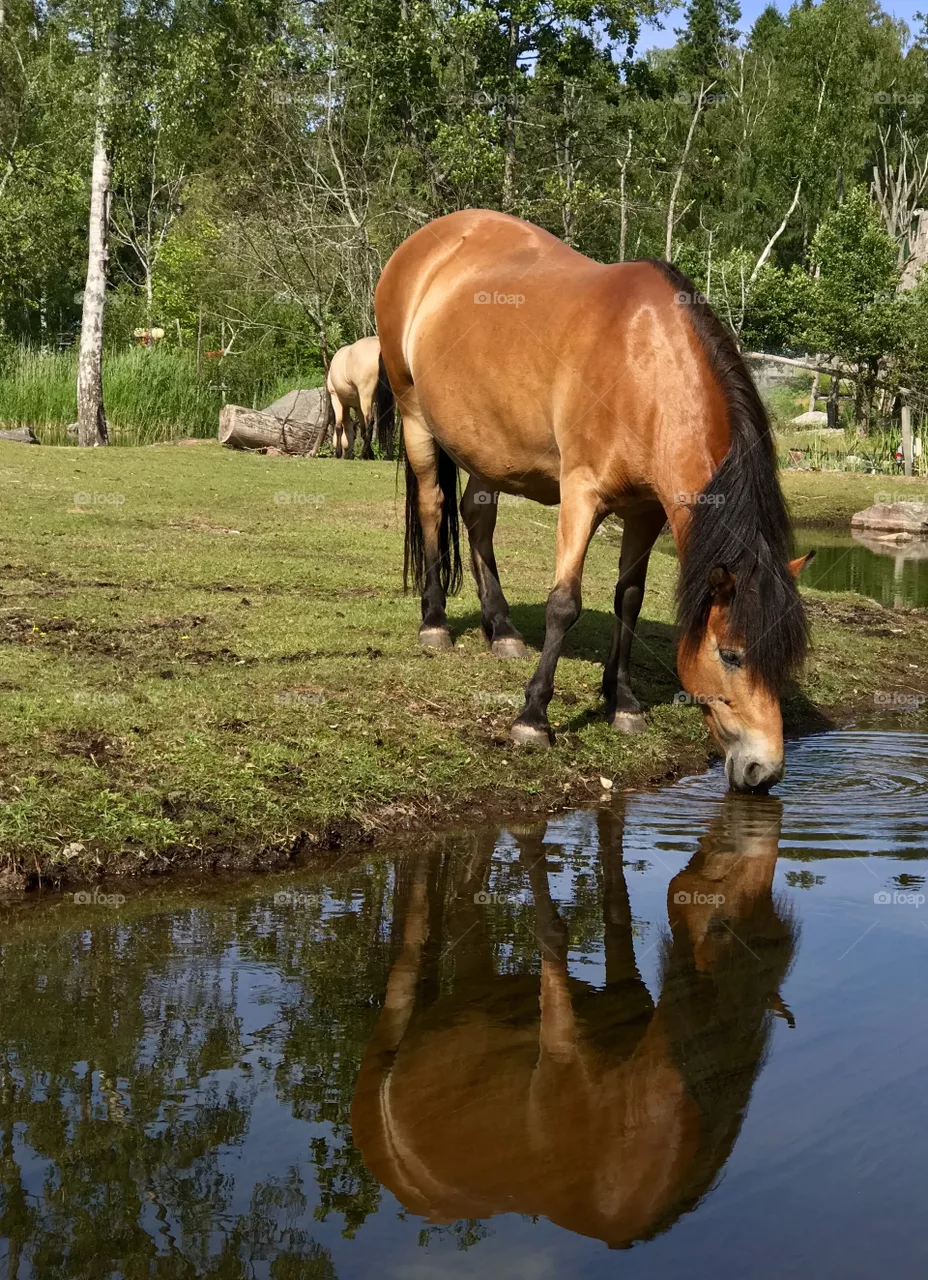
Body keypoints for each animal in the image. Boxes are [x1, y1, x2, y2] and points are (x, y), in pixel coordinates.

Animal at [351, 801, 795, 1248]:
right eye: (720, 925)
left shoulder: (625, 991)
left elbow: (616, 907)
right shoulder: (559, 1060)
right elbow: (552, 934)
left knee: (463, 905)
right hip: (395, 1012)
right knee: (416, 934)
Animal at [375, 209, 813, 792]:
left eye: (784, 660)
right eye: (732, 655)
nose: (763, 770)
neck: (643, 363)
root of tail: (426, 244)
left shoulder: (646, 511)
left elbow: (629, 599)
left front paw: (621, 701)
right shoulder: (580, 495)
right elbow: (565, 603)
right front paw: (532, 718)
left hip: (487, 447)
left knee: (477, 518)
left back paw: (502, 628)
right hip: (415, 419)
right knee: (432, 509)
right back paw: (435, 623)